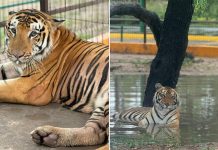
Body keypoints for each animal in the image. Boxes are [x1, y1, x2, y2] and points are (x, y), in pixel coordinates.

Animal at [0, 8, 109, 148]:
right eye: (13, 30)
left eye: (33, 33)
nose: (16, 55)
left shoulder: (29, 86)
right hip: (101, 107)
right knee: (95, 132)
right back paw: (48, 135)